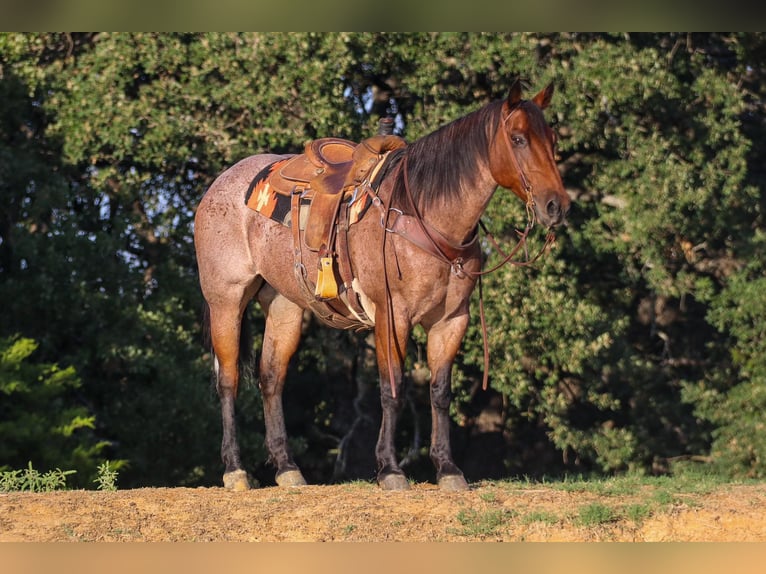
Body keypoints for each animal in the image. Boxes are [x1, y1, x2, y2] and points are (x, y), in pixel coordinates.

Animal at [195, 77, 572, 496]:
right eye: (518, 138)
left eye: (552, 139)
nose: (557, 206)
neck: (424, 214)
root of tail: (220, 185)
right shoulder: (393, 317)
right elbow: (393, 391)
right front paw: (390, 470)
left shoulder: (452, 321)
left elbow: (440, 392)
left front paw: (448, 469)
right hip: (227, 300)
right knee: (228, 379)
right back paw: (235, 470)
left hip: (284, 305)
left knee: (271, 378)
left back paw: (288, 469)